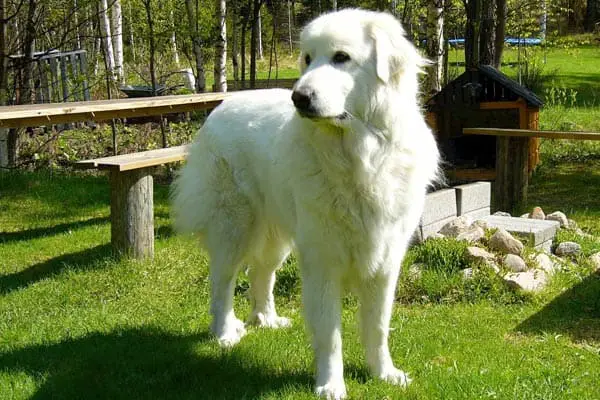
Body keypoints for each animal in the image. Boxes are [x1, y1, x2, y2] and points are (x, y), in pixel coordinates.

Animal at [173, 7, 440, 398]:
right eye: (308, 59)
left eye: (341, 58)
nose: (299, 97)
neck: (361, 156)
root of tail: (222, 106)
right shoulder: (322, 260)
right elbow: (330, 334)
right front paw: (331, 385)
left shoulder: (385, 261)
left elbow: (378, 327)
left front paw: (384, 374)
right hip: (234, 227)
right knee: (222, 281)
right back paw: (224, 333)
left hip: (277, 237)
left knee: (261, 273)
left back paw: (266, 319)